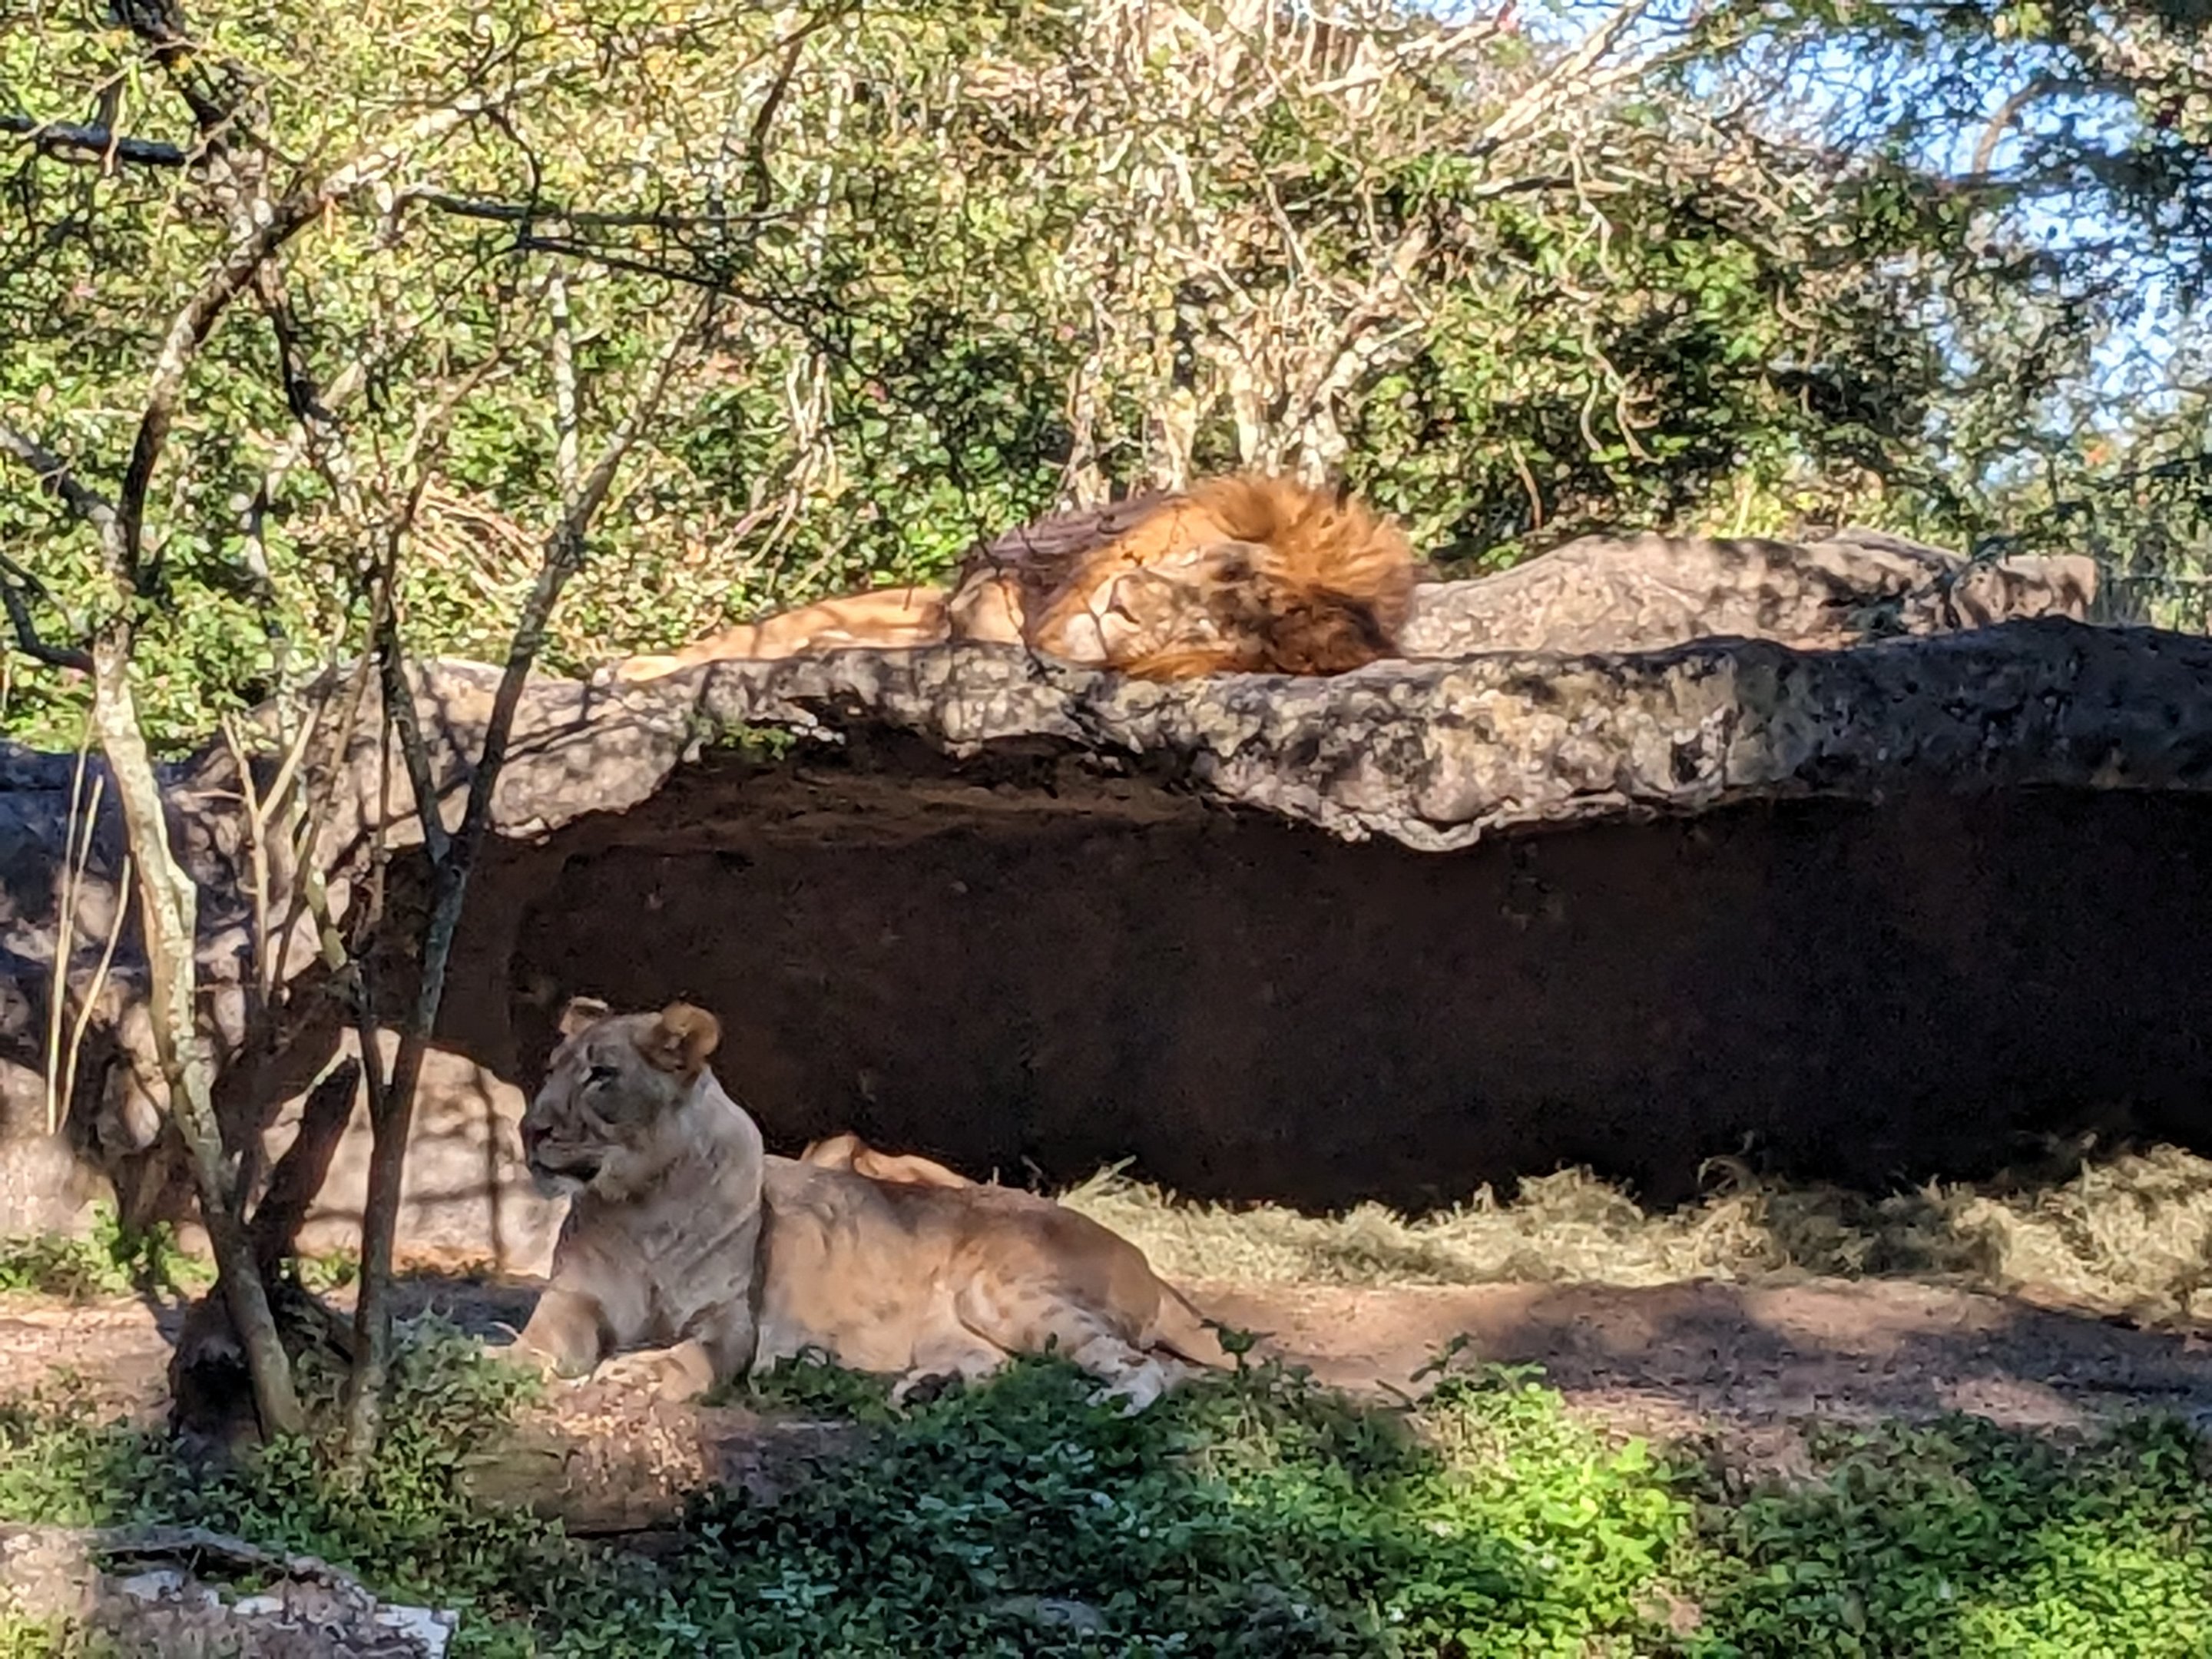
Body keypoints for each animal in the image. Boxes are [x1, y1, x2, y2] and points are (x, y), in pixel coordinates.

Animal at [511, 999, 1230, 1412]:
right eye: (552, 1069)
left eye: (602, 1075)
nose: (529, 1129)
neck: (641, 1202)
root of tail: (1142, 1258)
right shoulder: (575, 1299)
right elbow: (539, 1341)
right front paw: (507, 1364)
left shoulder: (730, 1321)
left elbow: (689, 1357)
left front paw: (637, 1374)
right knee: (1001, 1364)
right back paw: (928, 1390)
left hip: (1006, 1291)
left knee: (1151, 1369)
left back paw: (1110, 1402)